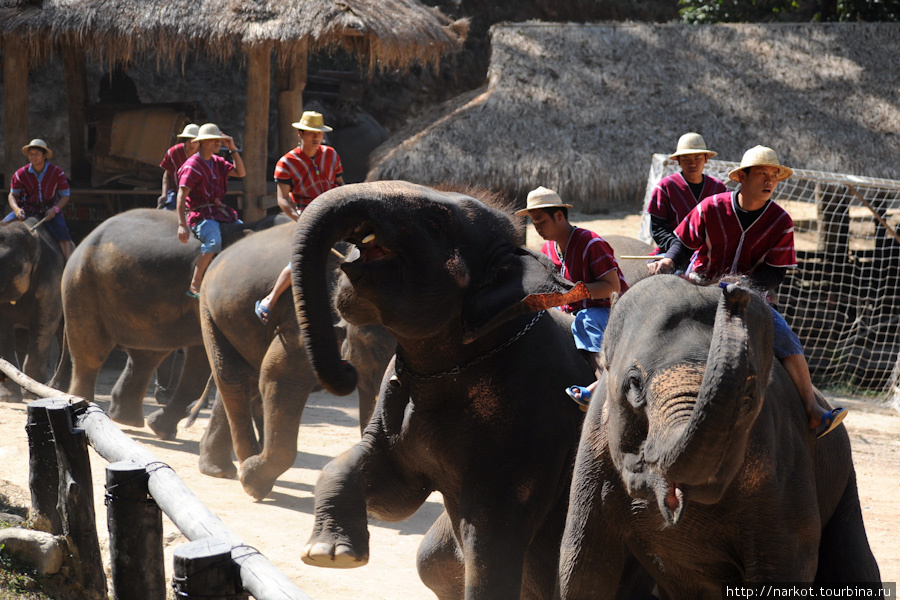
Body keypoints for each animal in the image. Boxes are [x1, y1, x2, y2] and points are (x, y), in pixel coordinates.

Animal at [61, 209, 286, 438]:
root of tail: (85, 238)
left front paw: (159, 428)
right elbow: (200, 363)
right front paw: (160, 428)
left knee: (147, 354)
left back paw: (127, 419)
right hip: (83, 283)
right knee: (91, 353)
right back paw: (85, 408)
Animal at [197, 223, 394, 494]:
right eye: (377, 350)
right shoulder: (300, 318)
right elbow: (279, 377)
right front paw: (252, 481)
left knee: (246, 378)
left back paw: (219, 469)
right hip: (209, 307)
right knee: (232, 377)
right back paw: (240, 468)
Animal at [290, 182, 596, 600]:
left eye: (434, 222)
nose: (346, 372)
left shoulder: (530, 429)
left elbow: (490, 545)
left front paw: (329, 553)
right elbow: (393, 494)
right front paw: (329, 554)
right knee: (431, 559)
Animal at [556, 274, 880, 596]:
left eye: (747, 395)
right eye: (634, 383)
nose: (735, 289)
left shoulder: (783, 462)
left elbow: (786, 567)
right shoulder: (593, 457)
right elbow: (582, 569)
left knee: (857, 565)